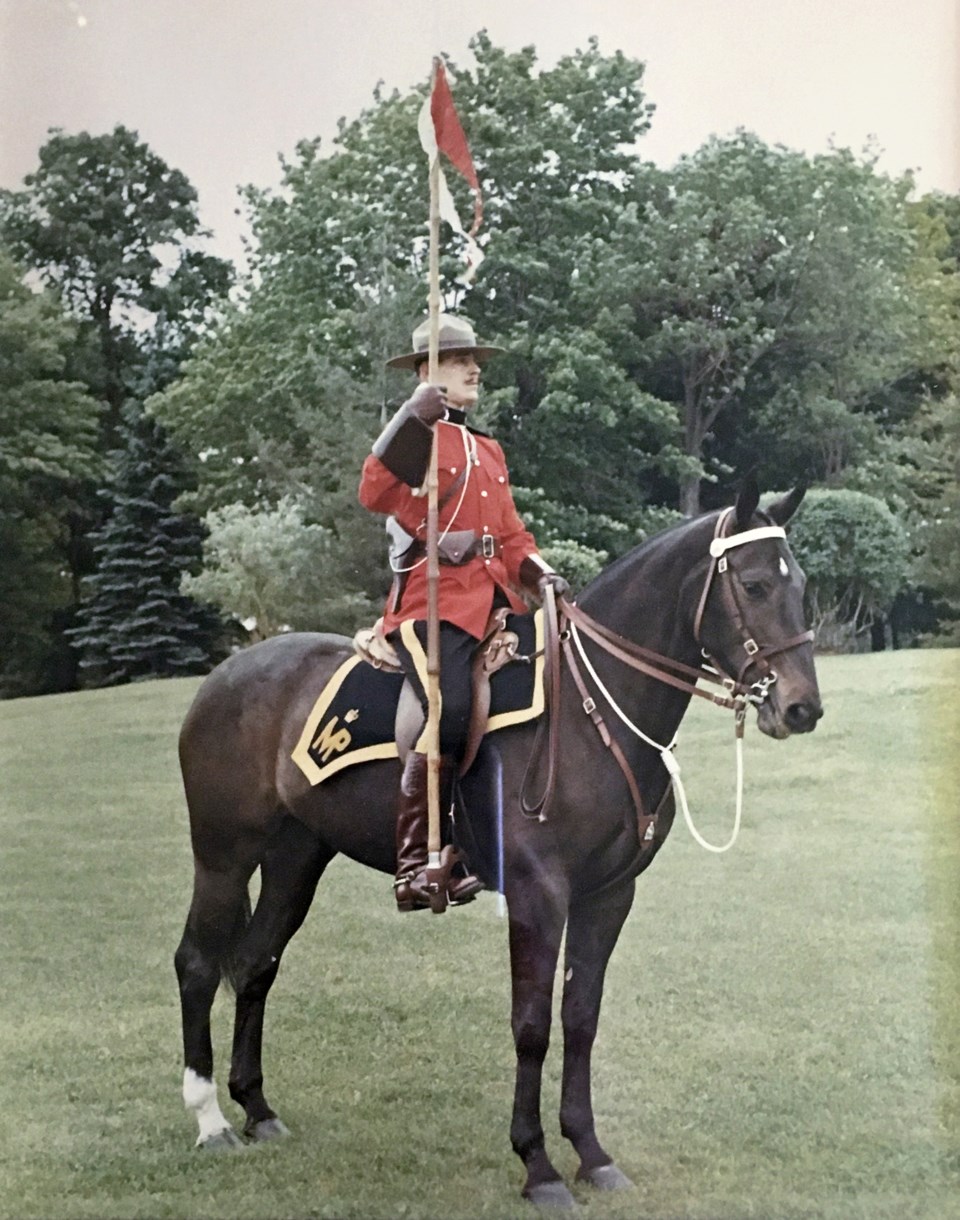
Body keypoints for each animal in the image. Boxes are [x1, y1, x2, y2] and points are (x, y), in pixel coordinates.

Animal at [176, 473, 824, 1200]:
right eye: (754, 585)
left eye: (799, 584)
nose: (802, 706)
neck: (590, 712)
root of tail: (226, 674)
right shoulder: (539, 896)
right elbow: (532, 1025)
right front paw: (537, 1164)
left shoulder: (608, 896)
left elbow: (581, 1018)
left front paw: (590, 1152)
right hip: (222, 855)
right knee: (198, 964)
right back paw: (210, 1119)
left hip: (296, 858)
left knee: (256, 962)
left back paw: (256, 1107)